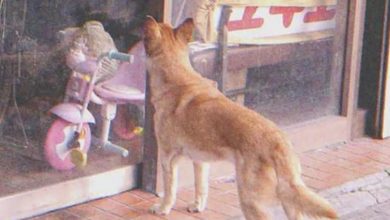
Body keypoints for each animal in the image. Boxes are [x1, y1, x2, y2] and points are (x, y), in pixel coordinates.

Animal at [143, 15, 338, 220]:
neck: (178, 77)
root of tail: (278, 142)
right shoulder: (201, 161)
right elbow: (201, 187)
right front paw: (197, 206)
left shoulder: (168, 158)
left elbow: (169, 190)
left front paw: (162, 208)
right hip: (289, 199)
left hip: (250, 200)